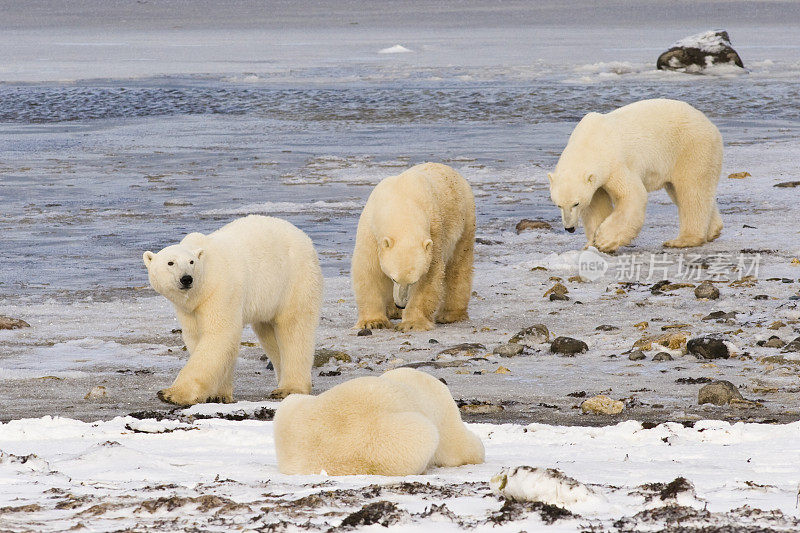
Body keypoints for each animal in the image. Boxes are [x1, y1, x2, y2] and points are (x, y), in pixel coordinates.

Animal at [144, 214, 322, 406]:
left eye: (191, 262)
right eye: (170, 263)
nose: (186, 279)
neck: (201, 288)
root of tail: (304, 237)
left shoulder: (220, 290)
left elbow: (220, 334)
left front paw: (171, 394)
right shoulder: (189, 309)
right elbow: (197, 337)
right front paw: (218, 395)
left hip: (295, 280)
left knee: (294, 328)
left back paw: (289, 389)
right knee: (268, 333)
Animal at [352, 160, 476, 330]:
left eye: (413, 281)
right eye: (394, 279)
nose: (401, 305)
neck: (402, 201)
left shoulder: (434, 233)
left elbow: (430, 277)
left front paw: (412, 323)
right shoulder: (370, 229)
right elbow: (369, 270)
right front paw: (372, 322)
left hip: (466, 220)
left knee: (459, 265)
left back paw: (450, 314)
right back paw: (393, 311)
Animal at [552, 98, 724, 254]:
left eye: (576, 203)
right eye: (558, 205)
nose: (569, 228)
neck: (590, 142)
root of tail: (710, 124)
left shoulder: (616, 163)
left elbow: (631, 195)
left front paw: (604, 240)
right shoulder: (597, 181)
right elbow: (596, 205)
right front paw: (591, 244)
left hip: (692, 149)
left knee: (692, 190)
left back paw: (682, 240)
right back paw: (713, 231)